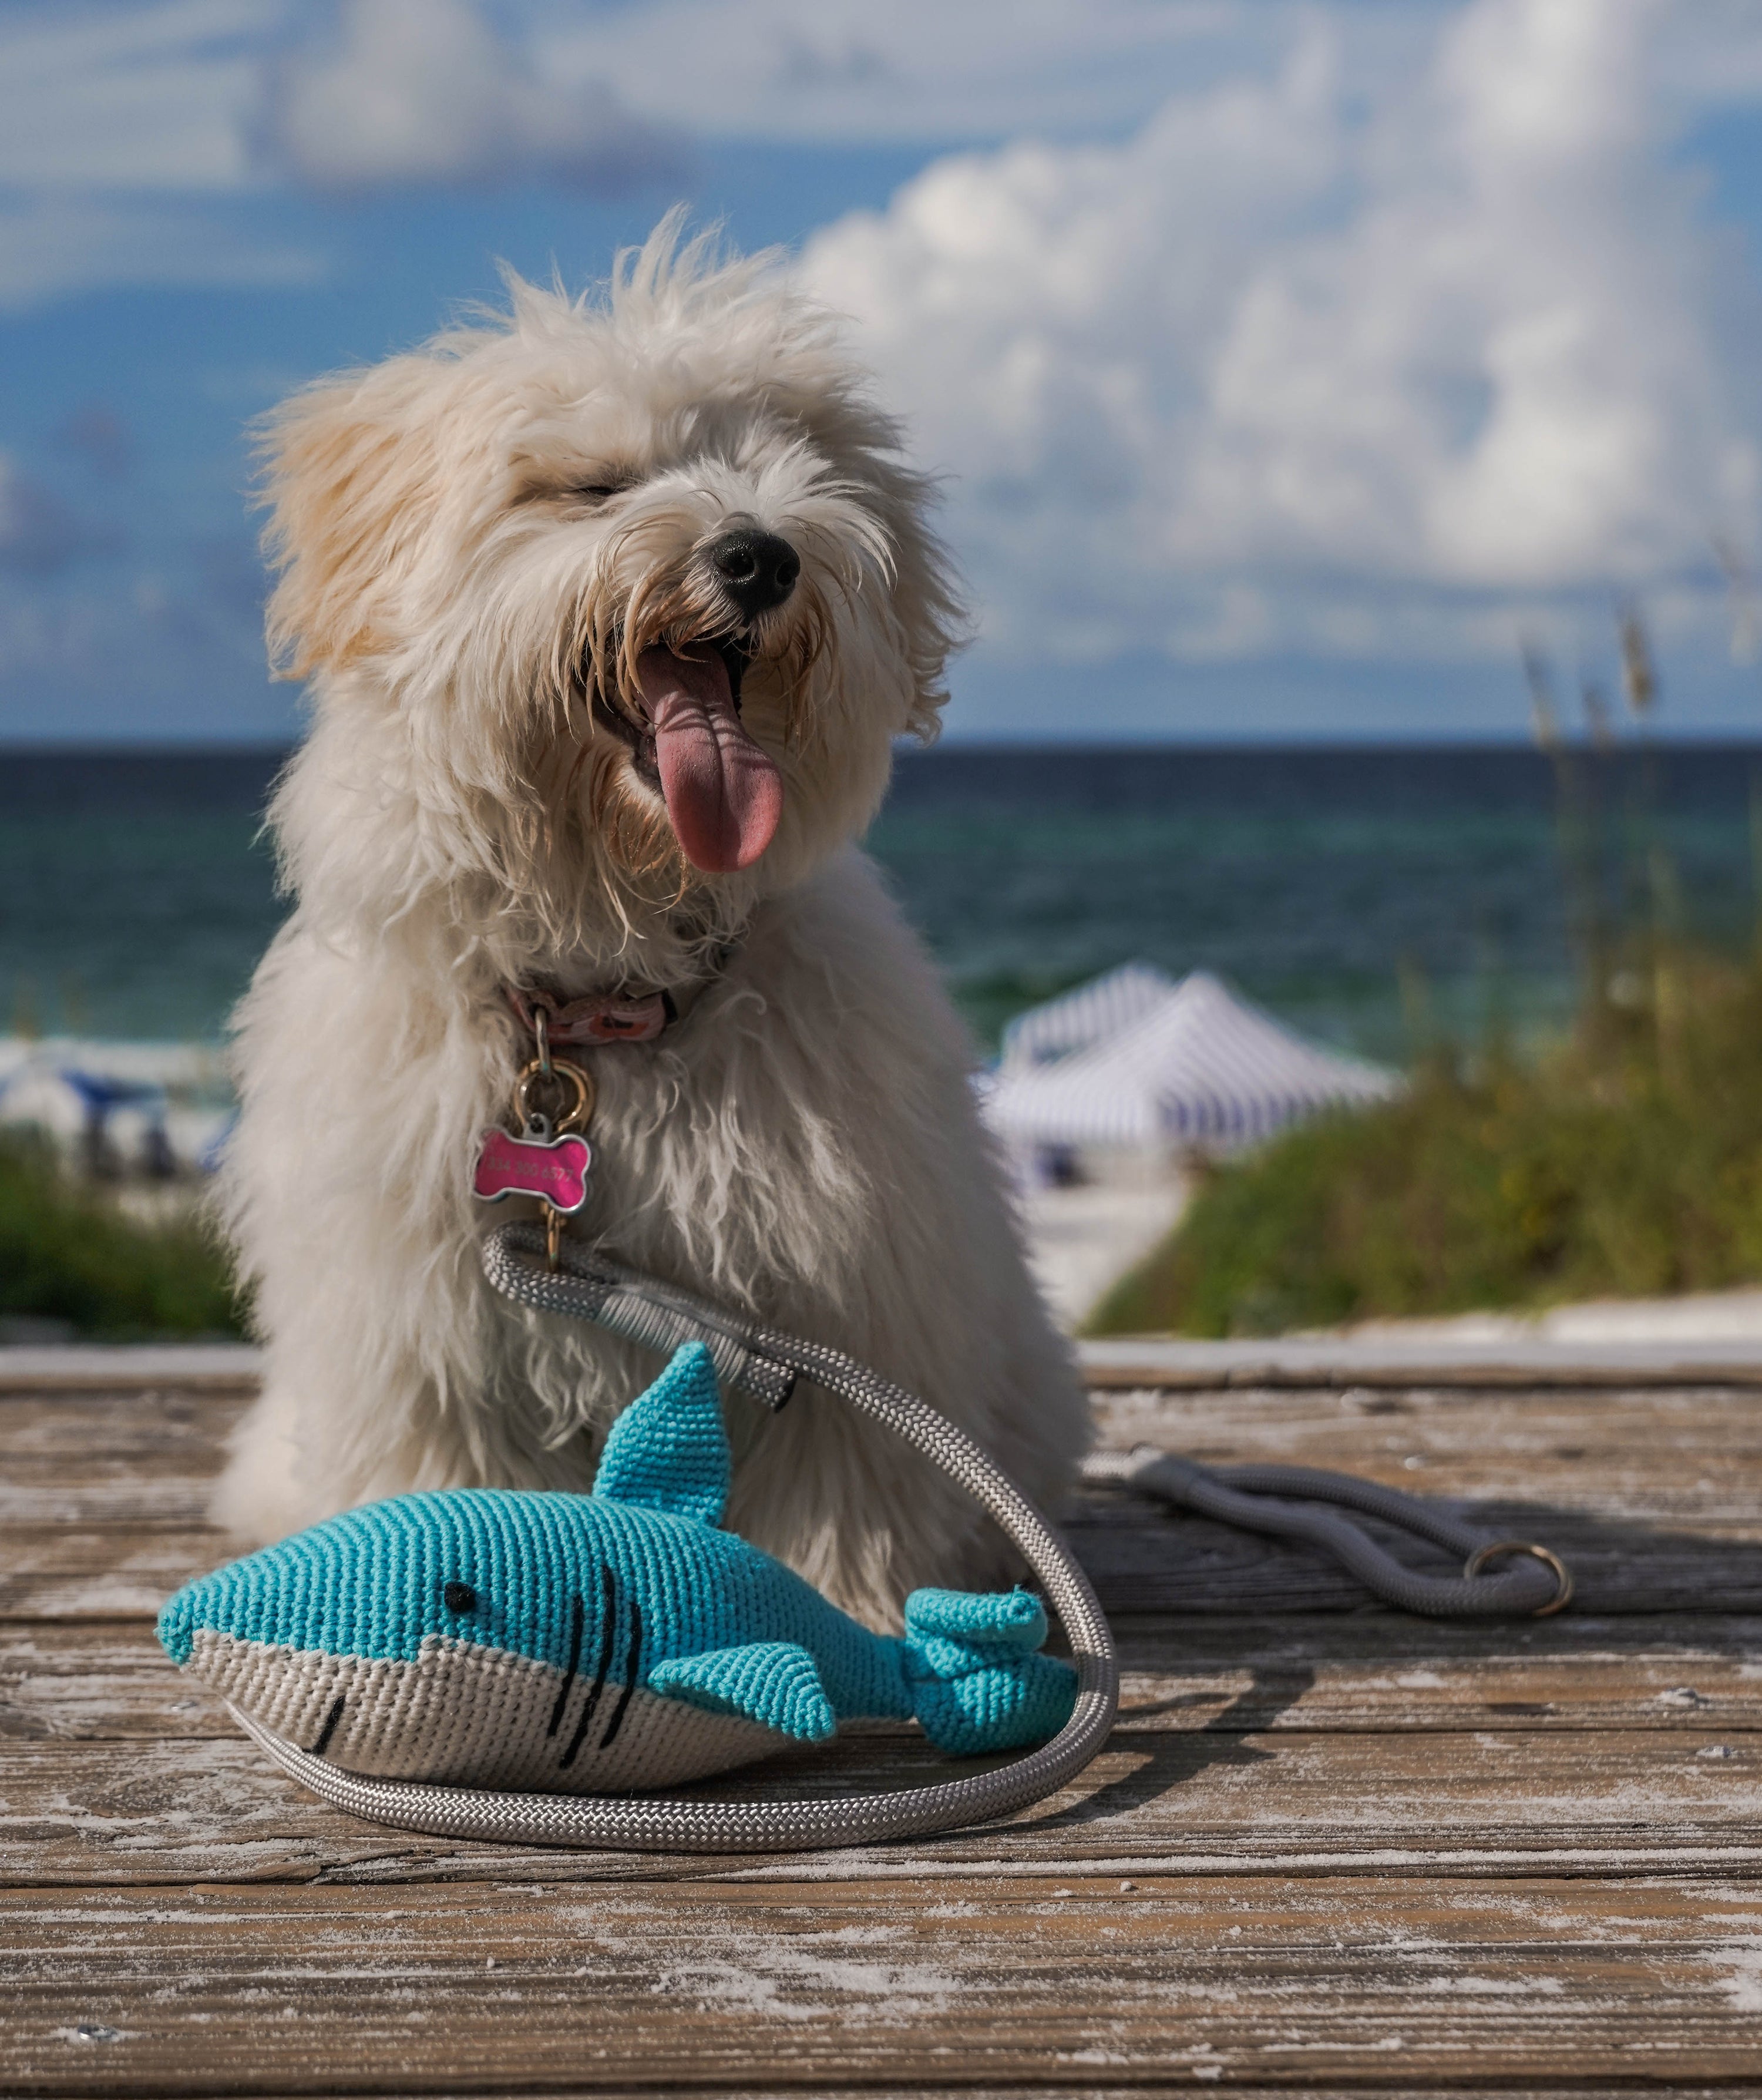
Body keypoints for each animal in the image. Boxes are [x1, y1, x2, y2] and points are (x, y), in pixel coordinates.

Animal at [218, 217, 1092, 1621]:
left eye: (795, 464)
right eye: (590, 486)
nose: (761, 554)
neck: (605, 1003)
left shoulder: (847, 1302)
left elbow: (842, 1492)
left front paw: (846, 1620)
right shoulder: (421, 1323)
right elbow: (451, 1475)